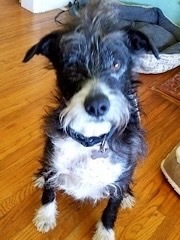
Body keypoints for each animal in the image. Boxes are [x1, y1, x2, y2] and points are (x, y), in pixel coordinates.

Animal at [22, 0, 159, 239]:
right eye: (72, 68)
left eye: (116, 64)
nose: (97, 105)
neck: (90, 140)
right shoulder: (53, 157)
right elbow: (49, 190)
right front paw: (45, 216)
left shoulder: (120, 176)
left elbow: (111, 208)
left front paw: (105, 233)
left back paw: (128, 196)